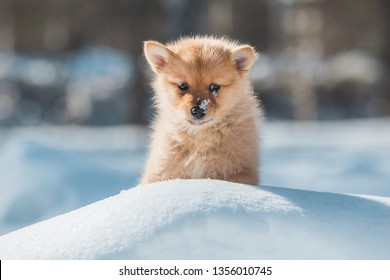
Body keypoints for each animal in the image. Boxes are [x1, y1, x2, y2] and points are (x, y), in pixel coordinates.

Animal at [141, 36, 262, 186]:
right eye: (183, 86)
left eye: (214, 87)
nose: (198, 110)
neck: (199, 138)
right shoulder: (161, 171)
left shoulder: (239, 172)